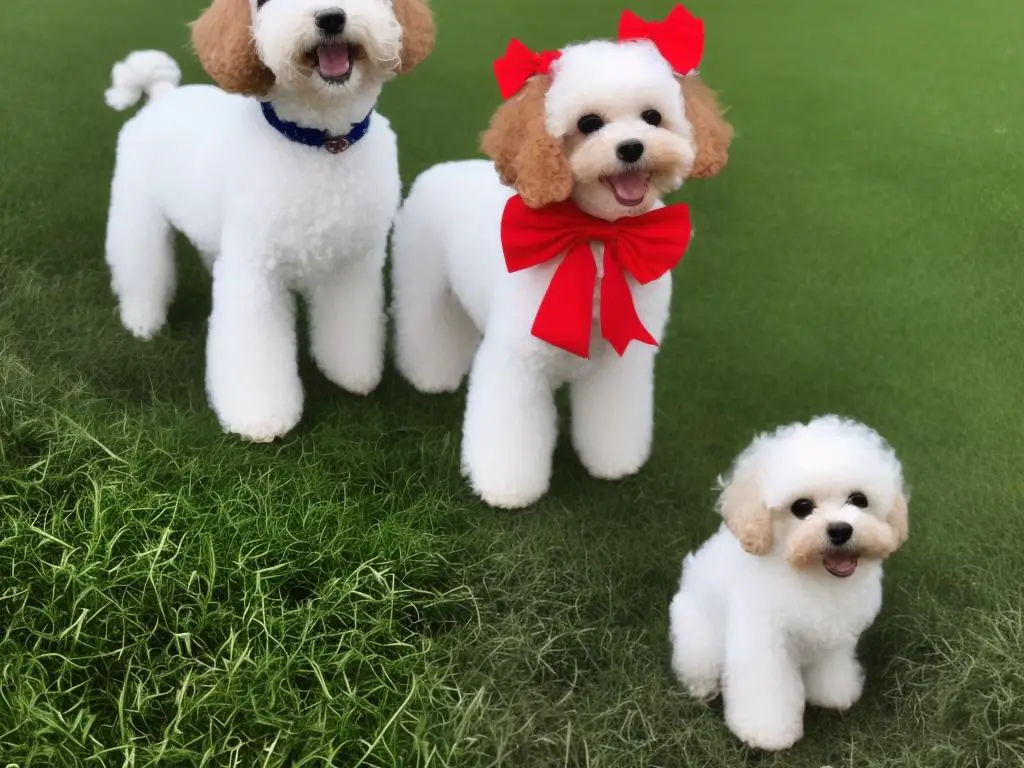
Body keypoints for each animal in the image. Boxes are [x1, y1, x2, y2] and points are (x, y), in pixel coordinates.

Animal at [104, 0, 436, 442]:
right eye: (263, 3)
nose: (331, 17)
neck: (321, 145)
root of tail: (162, 96)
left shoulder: (352, 263)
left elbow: (348, 322)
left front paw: (348, 372)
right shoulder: (254, 271)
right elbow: (255, 349)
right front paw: (259, 417)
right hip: (137, 213)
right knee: (142, 267)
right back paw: (142, 321)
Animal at [387, 9, 733, 512]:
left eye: (653, 117)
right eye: (588, 123)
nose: (632, 147)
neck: (600, 239)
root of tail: (443, 169)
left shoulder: (621, 359)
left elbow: (614, 415)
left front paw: (614, 461)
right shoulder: (517, 360)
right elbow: (509, 433)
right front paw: (507, 488)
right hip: (424, 285)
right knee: (426, 330)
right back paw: (431, 376)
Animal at [671, 415, 913, 753]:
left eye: (859, 500)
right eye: (801, 507)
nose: (841, 530)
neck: (812, 575)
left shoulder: (836, 637)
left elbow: (831, 668)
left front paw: (833, 693)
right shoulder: (763, 641)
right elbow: (766, 686)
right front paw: (767, 732)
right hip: (699, 638)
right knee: (696, 664)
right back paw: (702, 688)